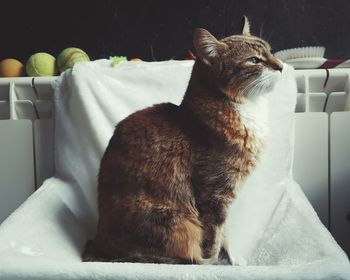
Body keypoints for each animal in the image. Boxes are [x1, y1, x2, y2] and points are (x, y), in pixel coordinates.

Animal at [82, 16, 284, 266]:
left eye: (270, 51)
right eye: (254, 60)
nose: (281, 66)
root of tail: (99, 246)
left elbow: (225, 234)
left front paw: (232, 259)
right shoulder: (214, 194)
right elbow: (214, 236)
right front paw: (215, 263)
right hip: (175, 221)